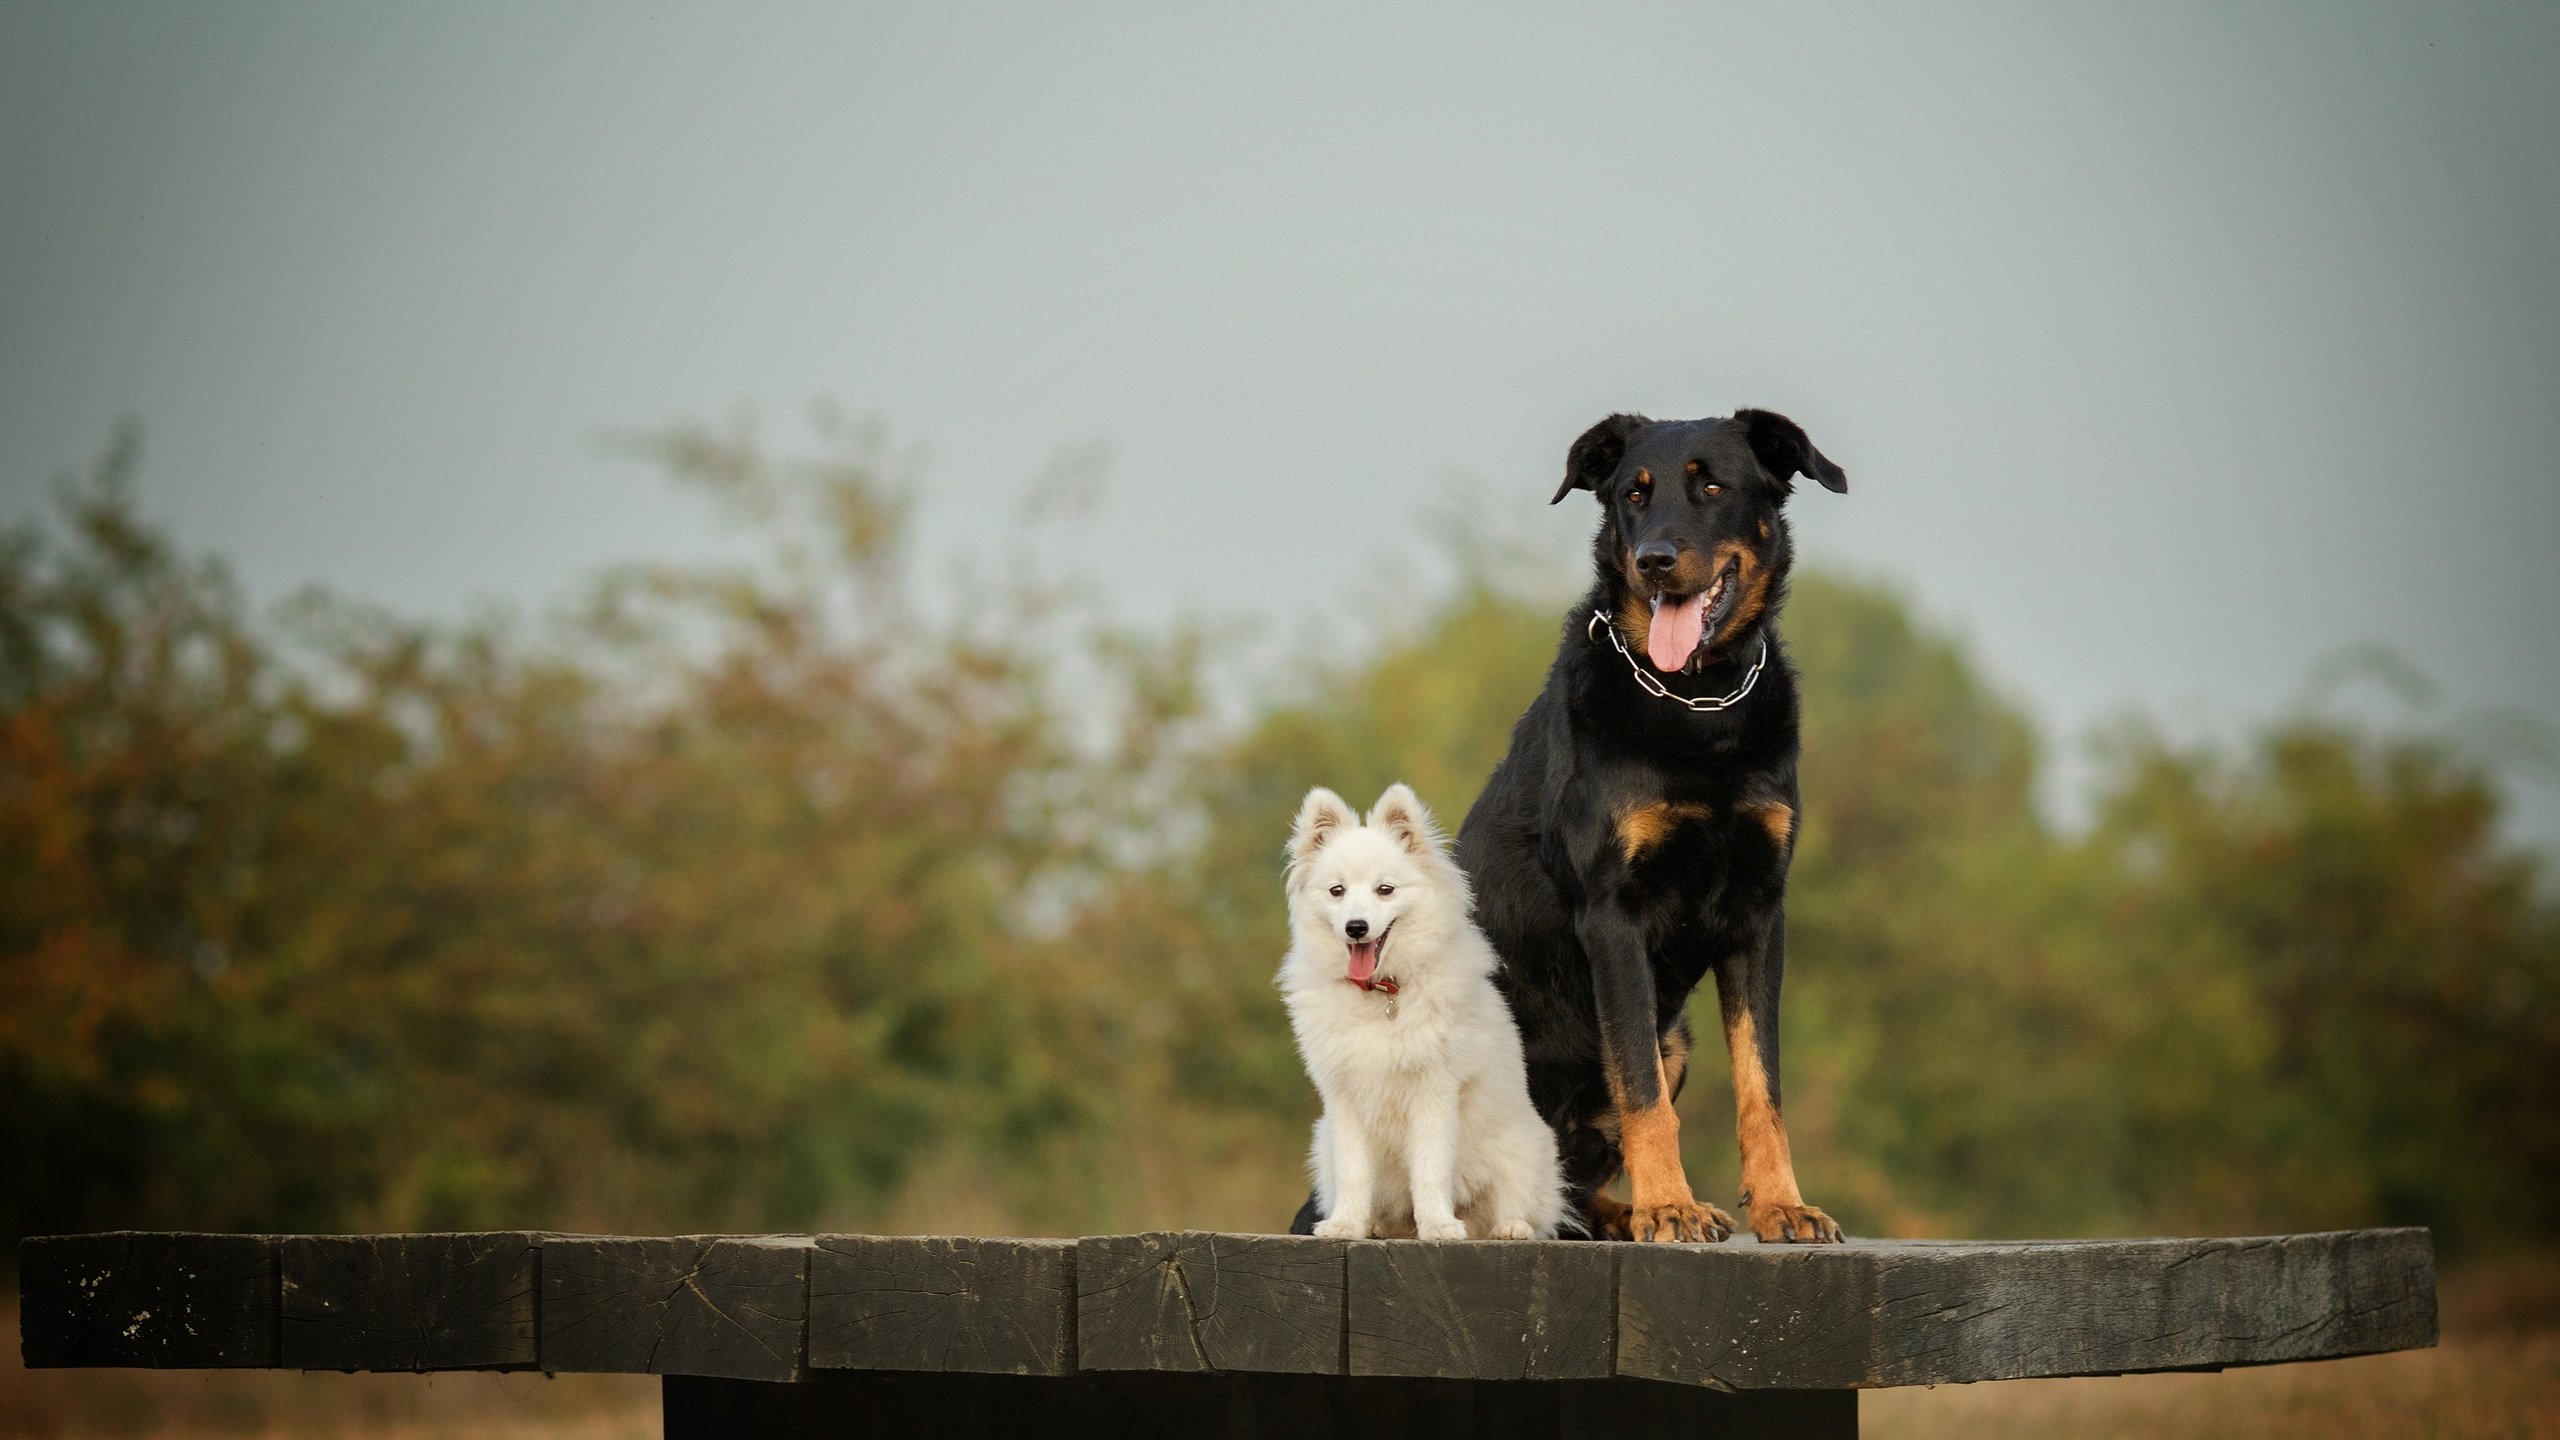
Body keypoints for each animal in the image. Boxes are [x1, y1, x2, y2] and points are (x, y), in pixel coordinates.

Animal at [1274, 778, 1566, 1240]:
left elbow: (1429, 1168)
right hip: (1322, 1143)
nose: (1356, 927)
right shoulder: (1344, 1099)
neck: (1382, 993)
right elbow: (1355, 1171)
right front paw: (1345, 1224)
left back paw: (1508, 1227)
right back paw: (1376, 1226)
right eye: (1337, 891)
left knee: (1518, 1204)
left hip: (1524, 1146)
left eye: (1385, 890)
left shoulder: (1434, 1093)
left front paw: (1439, 1226)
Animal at [1464, 409, 1843, 1240]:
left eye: (1712, 486)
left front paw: (1781, 1204)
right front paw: (1667, 1205)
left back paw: (1604, 1218)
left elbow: (1761, 1086)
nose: (1654, 561)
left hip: (1680, 1038)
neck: (1698, 705)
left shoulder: (1759, 914)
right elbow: (1641, 1092)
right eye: (1632, 495)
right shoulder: (1614, 915)